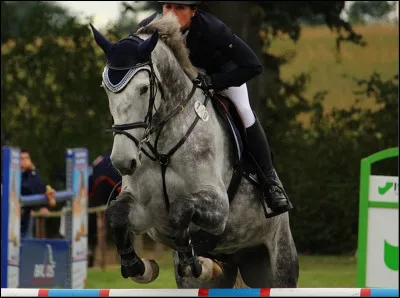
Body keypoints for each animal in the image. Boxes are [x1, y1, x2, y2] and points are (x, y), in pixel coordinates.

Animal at [90, 14, 296, 288]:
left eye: (144, 88)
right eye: (105, 88)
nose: (123, 161)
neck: (162, 152)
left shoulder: (218, 207)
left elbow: (181, 210)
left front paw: (190, 259)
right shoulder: (144, 211)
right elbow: (116, 214)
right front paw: (137, 266)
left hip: (277, 265)